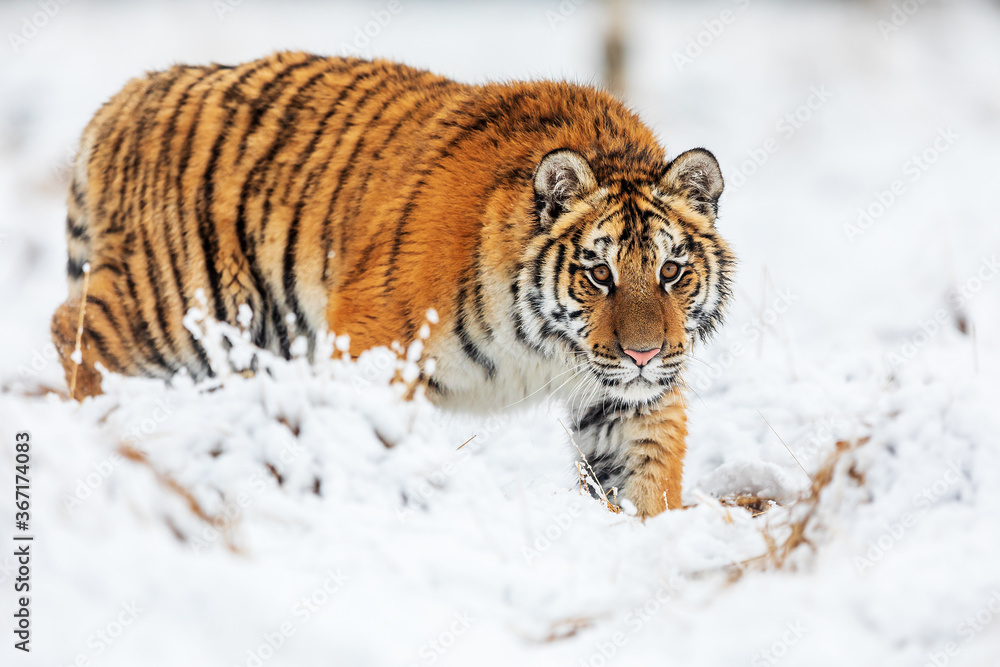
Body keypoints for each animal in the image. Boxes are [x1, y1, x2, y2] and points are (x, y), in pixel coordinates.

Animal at [50, 51, 734, 518]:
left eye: (671, 272)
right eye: (599, 274)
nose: (644, 353)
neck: (546, 346)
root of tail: (120, 102)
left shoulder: (627, 398)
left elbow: (646, 473)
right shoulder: (374, 341)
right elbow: (372, 432)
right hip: (179, 307)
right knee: (72, 330)